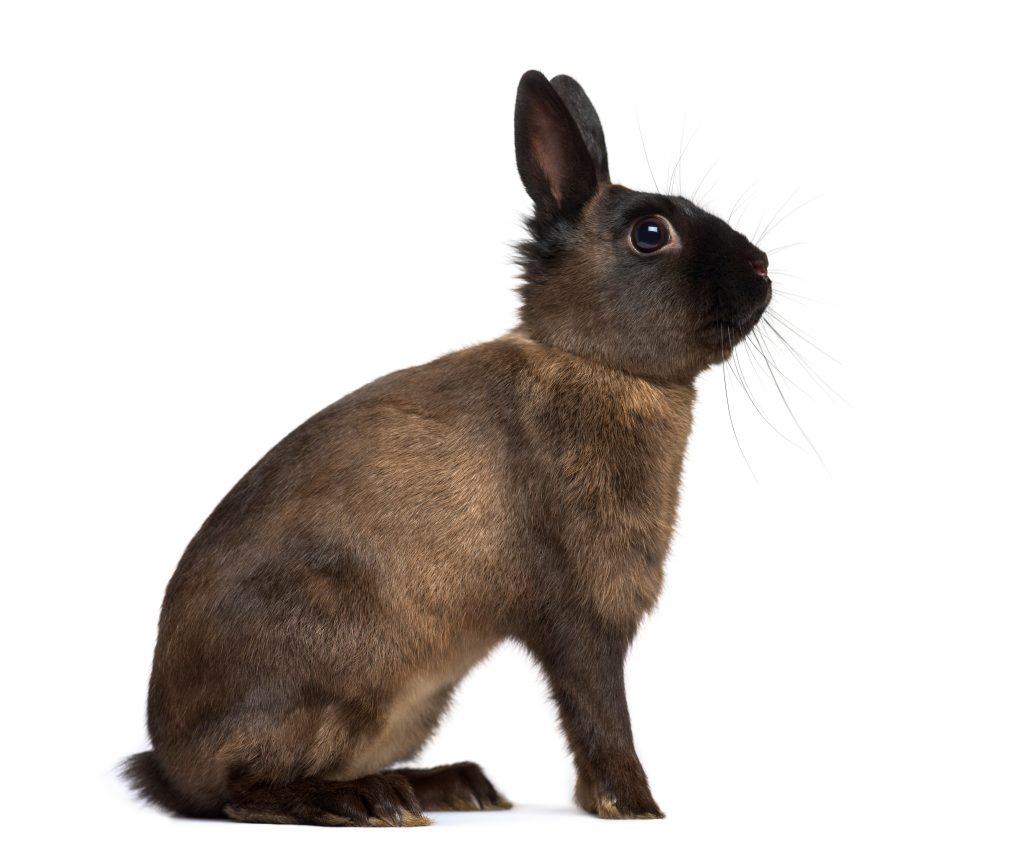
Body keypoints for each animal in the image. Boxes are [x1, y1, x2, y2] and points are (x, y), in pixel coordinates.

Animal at [122, 69, 772, 826]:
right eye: (650, 233)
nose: (762, 266)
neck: (596, 363)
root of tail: (171, 765)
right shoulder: (580, 615)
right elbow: (598, 712)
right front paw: (637, 807)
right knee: (242, 792)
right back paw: (370, 802)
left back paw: (452, 785)